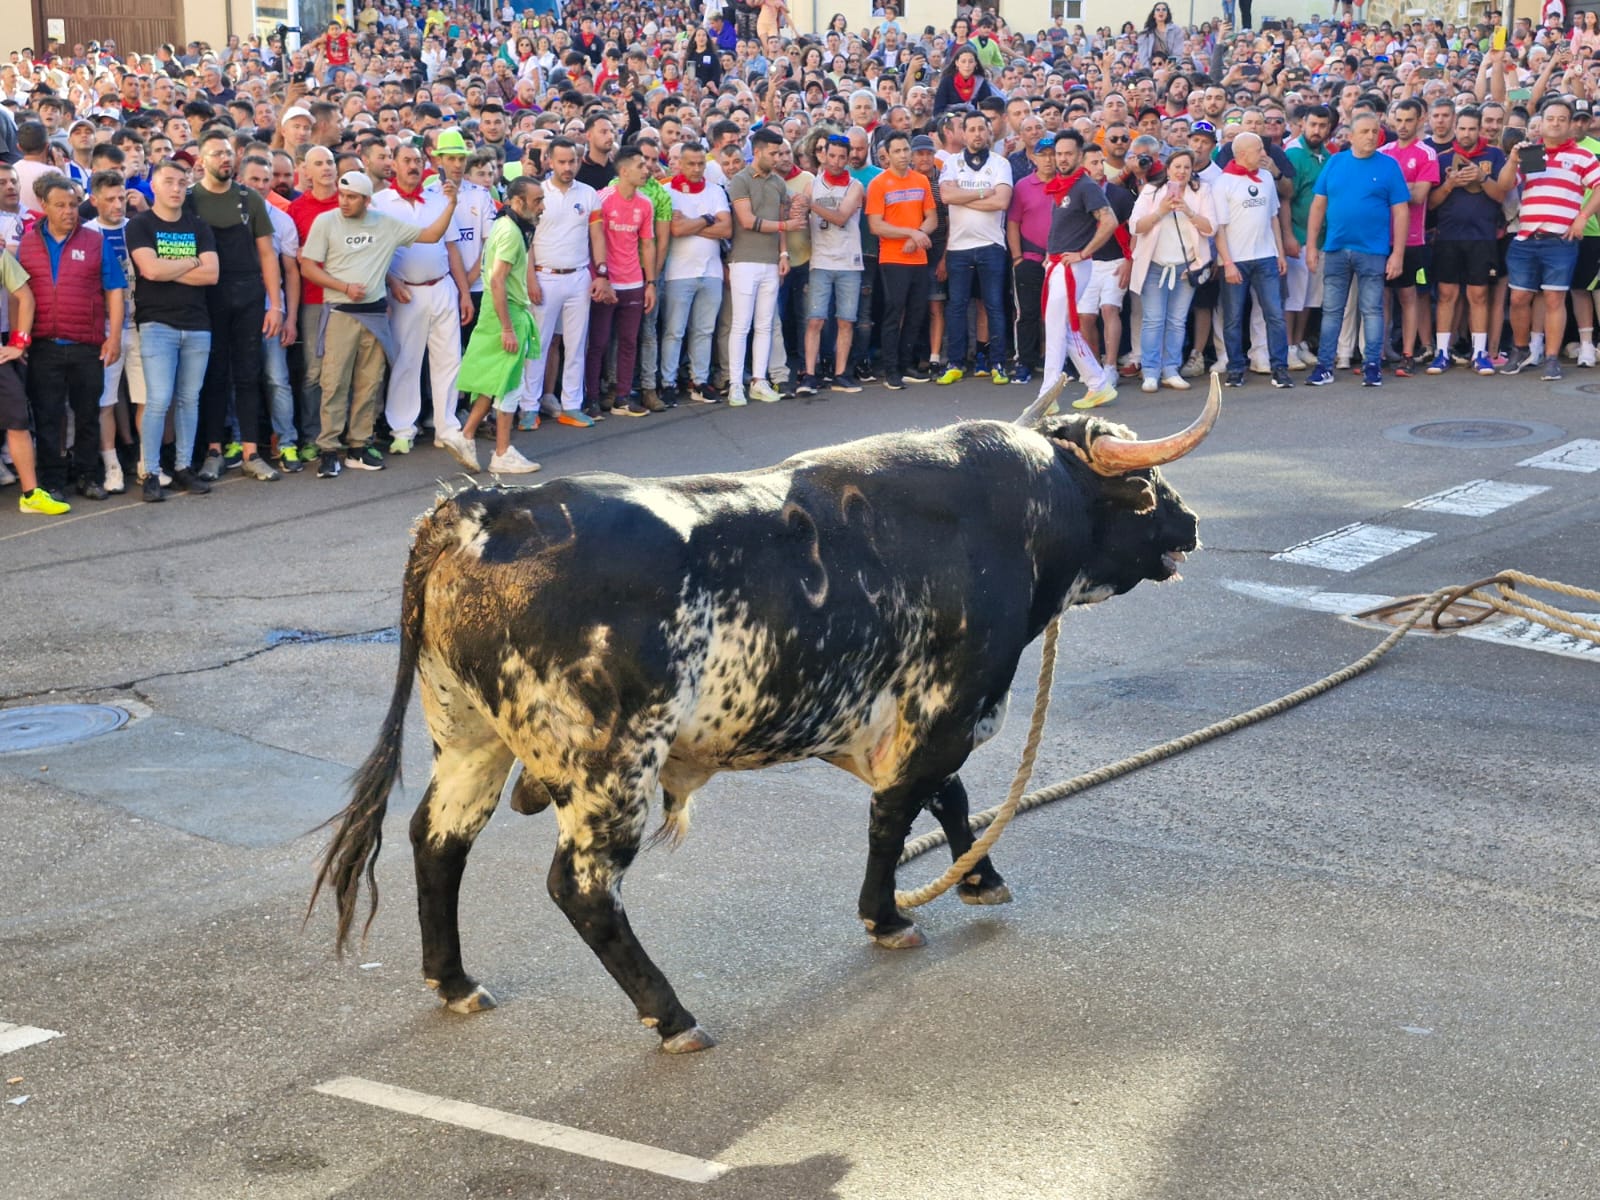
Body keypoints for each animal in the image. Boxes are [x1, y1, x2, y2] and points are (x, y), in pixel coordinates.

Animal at [310, 380, 1219, 1053]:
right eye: (1146, 489)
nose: (1193, 521)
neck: (1016, 517)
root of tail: (482, 510)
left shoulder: (902, 719)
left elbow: (948, 799)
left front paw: (978, 878)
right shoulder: (951, 705)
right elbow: (898, 813)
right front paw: (888, 914)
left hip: (469, 735)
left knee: (438, 839)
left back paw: (454, 980)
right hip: (610, 765)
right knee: (581, 885)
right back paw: (672, 1015)